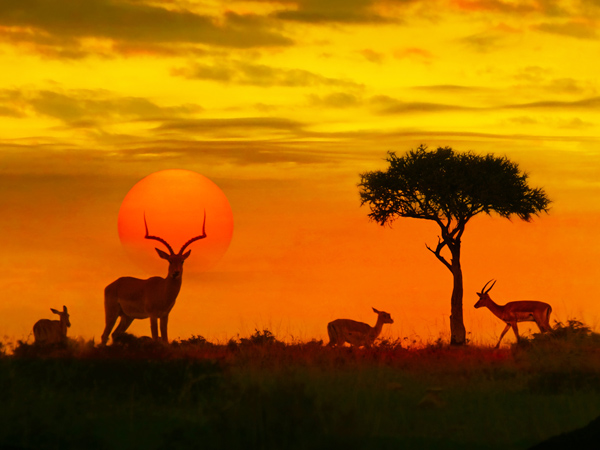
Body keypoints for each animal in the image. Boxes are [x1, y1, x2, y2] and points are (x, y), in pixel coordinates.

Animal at [102, 211, 207, 344]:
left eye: (182, 261)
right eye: (169, 260)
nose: (176, 273)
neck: (162, 291)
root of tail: (113, 284)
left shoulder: (164, 316)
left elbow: (165, 339)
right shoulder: (152, 315)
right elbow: (156, 337)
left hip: (128, 317)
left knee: (115, 334)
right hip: (112, 313)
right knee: (105, 335)